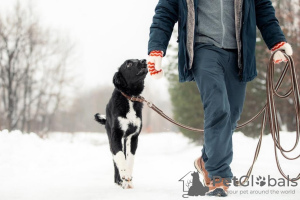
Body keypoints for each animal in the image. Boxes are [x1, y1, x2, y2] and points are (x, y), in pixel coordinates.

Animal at [95, 59, 148, 189]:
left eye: (137, 59)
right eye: (128, 64)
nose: (144, 61)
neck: (130, 98)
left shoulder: (133, 136)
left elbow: (130, 158)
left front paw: (129, 178)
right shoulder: (116, 135)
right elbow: (119, 156)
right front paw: (124, 175)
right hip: (111, 138)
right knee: (115, 160)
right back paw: (118, 180)